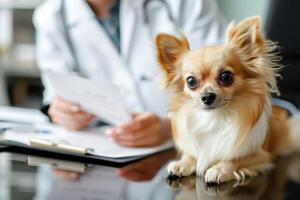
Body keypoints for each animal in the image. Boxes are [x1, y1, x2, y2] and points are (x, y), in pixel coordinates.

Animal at [156, 16, 300, 184]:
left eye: (226, 76)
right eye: (191, 81)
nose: (207, 96)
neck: (215, 117)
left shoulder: (262, 156)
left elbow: (235, 159)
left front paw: (219, 169)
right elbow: (191, 154)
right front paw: (183, 163)